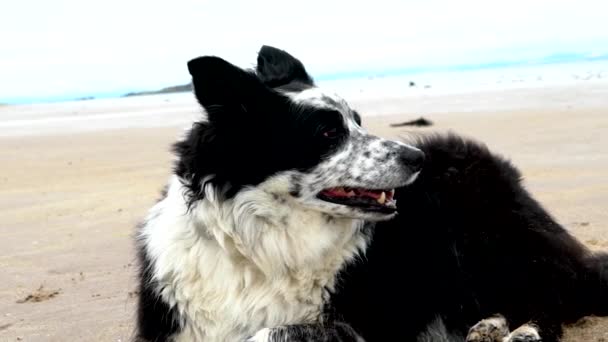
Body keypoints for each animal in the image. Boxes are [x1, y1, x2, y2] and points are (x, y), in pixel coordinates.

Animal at [134, 46, 608, 342]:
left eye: (358, 121)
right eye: (328, 132)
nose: (417, 158)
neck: (262, 248)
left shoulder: (362, 324)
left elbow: (266, 332)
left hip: (484, 233)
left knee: (550, 294)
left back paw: (523, 331)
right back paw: (488, 325)